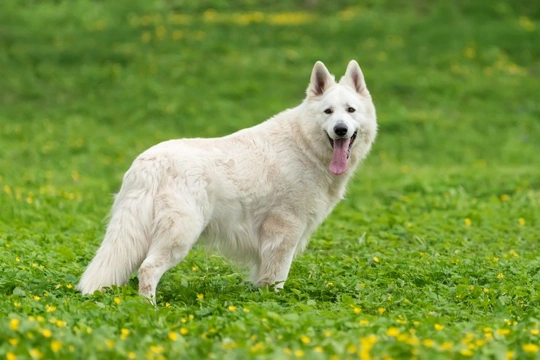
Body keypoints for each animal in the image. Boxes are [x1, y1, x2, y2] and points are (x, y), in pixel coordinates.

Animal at [78, 60, 378, 302]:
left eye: (350, 110)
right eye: (328, 112)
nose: (341, 129)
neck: (305, 145)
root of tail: (150, 163)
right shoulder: (284, 232)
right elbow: (277, 279)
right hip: (179, 236)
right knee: (148, 269)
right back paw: (148, 308)